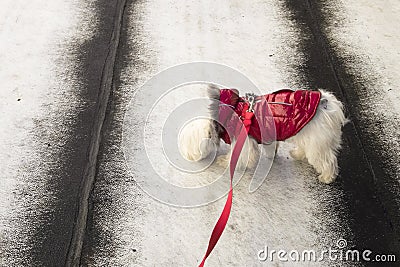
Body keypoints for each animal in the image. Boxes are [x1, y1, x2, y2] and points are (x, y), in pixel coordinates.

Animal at [178, 86, 346, 184]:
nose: (187, 156)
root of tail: (328, 104)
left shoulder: (244, 140)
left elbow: (239, 155)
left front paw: (224, 161)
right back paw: (297, 154)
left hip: (317, 143)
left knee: (328, 161)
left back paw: (327, 177)